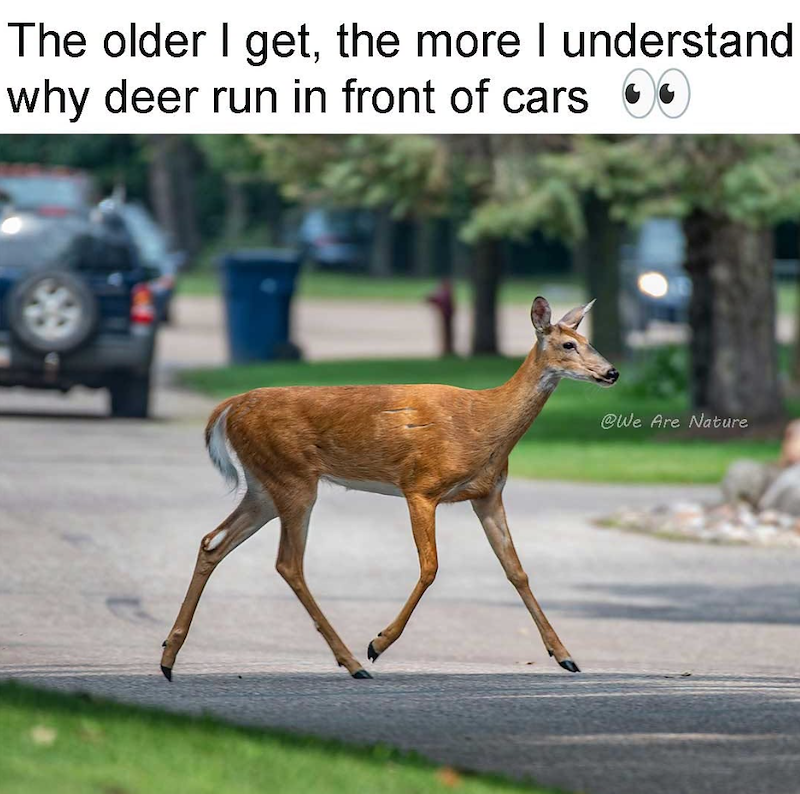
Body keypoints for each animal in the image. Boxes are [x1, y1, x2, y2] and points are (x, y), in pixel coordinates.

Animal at [160, 296, 619, 681]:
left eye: (589, 340)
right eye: (567, 345)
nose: (611, 372)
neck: (484, 423)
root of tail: (228, 408)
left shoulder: (488, 495)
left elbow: (516, 571)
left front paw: (565, 656)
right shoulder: (421, 486)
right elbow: (431, 567)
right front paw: (378, 643)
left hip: (263, 486)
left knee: (213, 542)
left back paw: (168, 657)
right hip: (292, 479)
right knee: (288, 563)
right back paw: (354, 662)